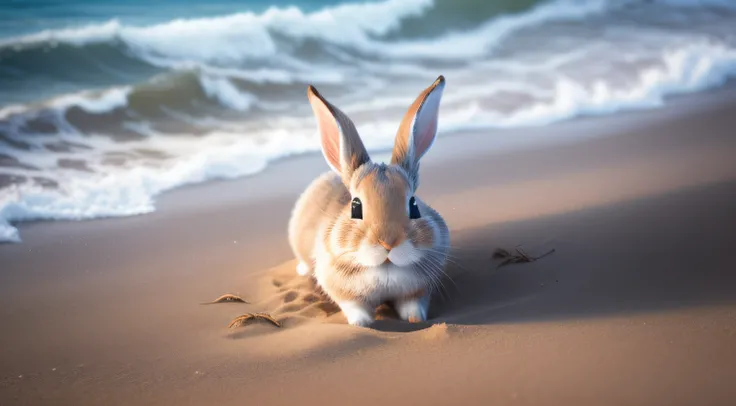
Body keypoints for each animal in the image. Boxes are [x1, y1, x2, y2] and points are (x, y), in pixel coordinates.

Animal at [286, 75, 448, 326]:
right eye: (356, 206)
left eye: (413, 205)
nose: (388, 243)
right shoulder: (343, 293)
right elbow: (355, 310)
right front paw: (362, 323)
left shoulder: (417, 292)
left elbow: (413, 307)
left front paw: (415, 319)